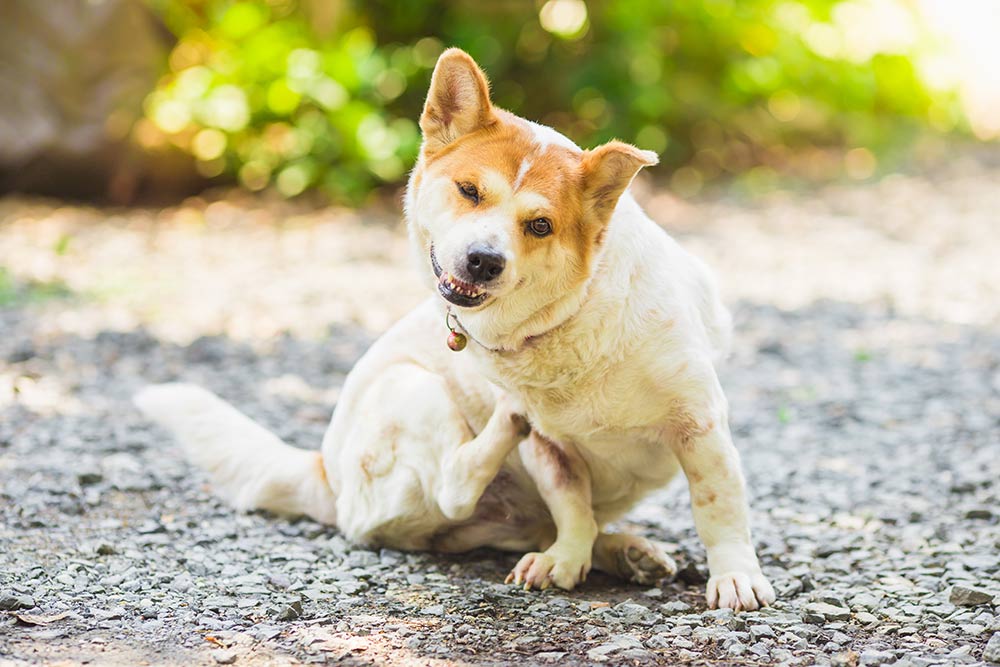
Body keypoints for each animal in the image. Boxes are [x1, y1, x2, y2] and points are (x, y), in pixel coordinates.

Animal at [135, 47, 772, 612]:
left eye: (540, 225)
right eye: (469, 191)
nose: (483, 261)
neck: (571, 318)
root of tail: (324, 474)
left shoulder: (699, 424)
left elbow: (717, 505)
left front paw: (734, 577)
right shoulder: (549, 450)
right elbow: (571, 505)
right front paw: (566, 558)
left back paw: (625, 552)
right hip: (411, 388)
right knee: (455, 485)